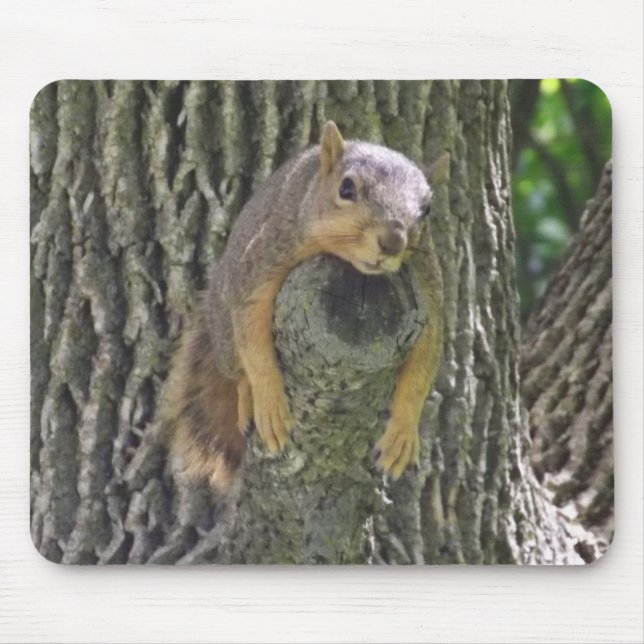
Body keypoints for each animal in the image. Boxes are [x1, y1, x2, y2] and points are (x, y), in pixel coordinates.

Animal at [162, 121, 444, 492]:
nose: (393, 241)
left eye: (427, 209)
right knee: (237, 369)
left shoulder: (428, 289)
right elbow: (253, 338)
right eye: (347, 188)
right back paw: (247, 399)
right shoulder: (265, 259)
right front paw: (269, 402)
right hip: (224, 332)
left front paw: (403, 434)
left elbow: (424, 365)